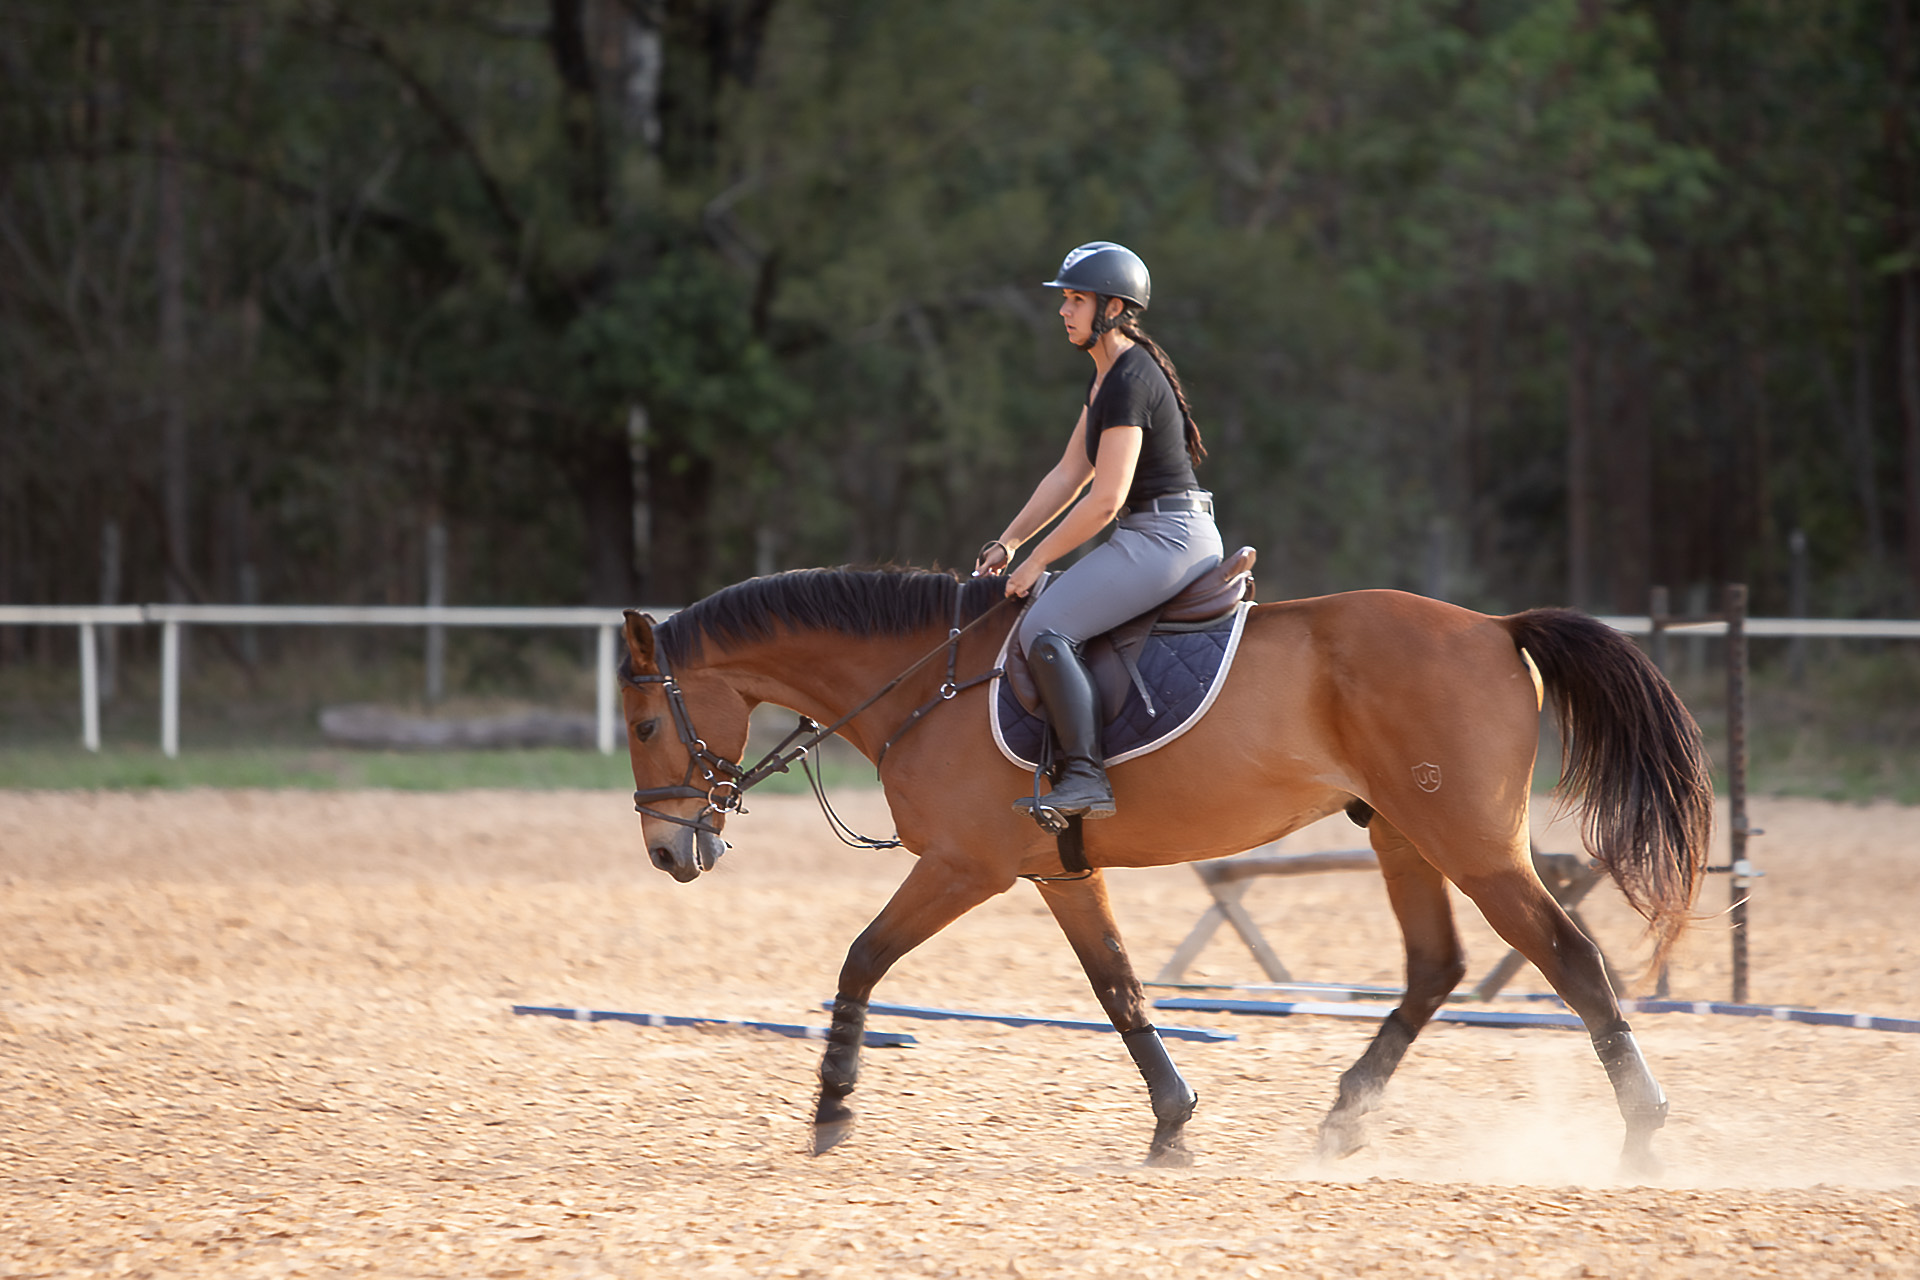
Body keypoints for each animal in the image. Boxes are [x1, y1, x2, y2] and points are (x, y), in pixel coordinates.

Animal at [615, 565, 1712, 1174]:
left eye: (641, 723)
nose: (668, 852)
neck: (925, 681)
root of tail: (1493, 627)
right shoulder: (1059, 873)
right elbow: (1121, 989)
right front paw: (1173, 1125)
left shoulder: (964, 867)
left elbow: (860, 959)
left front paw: (834, 1104)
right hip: (1402, 834)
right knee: (1435, 966)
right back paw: (1342, 1118)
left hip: (1473, 844)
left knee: (1571, 959)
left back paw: (1645, 1132)